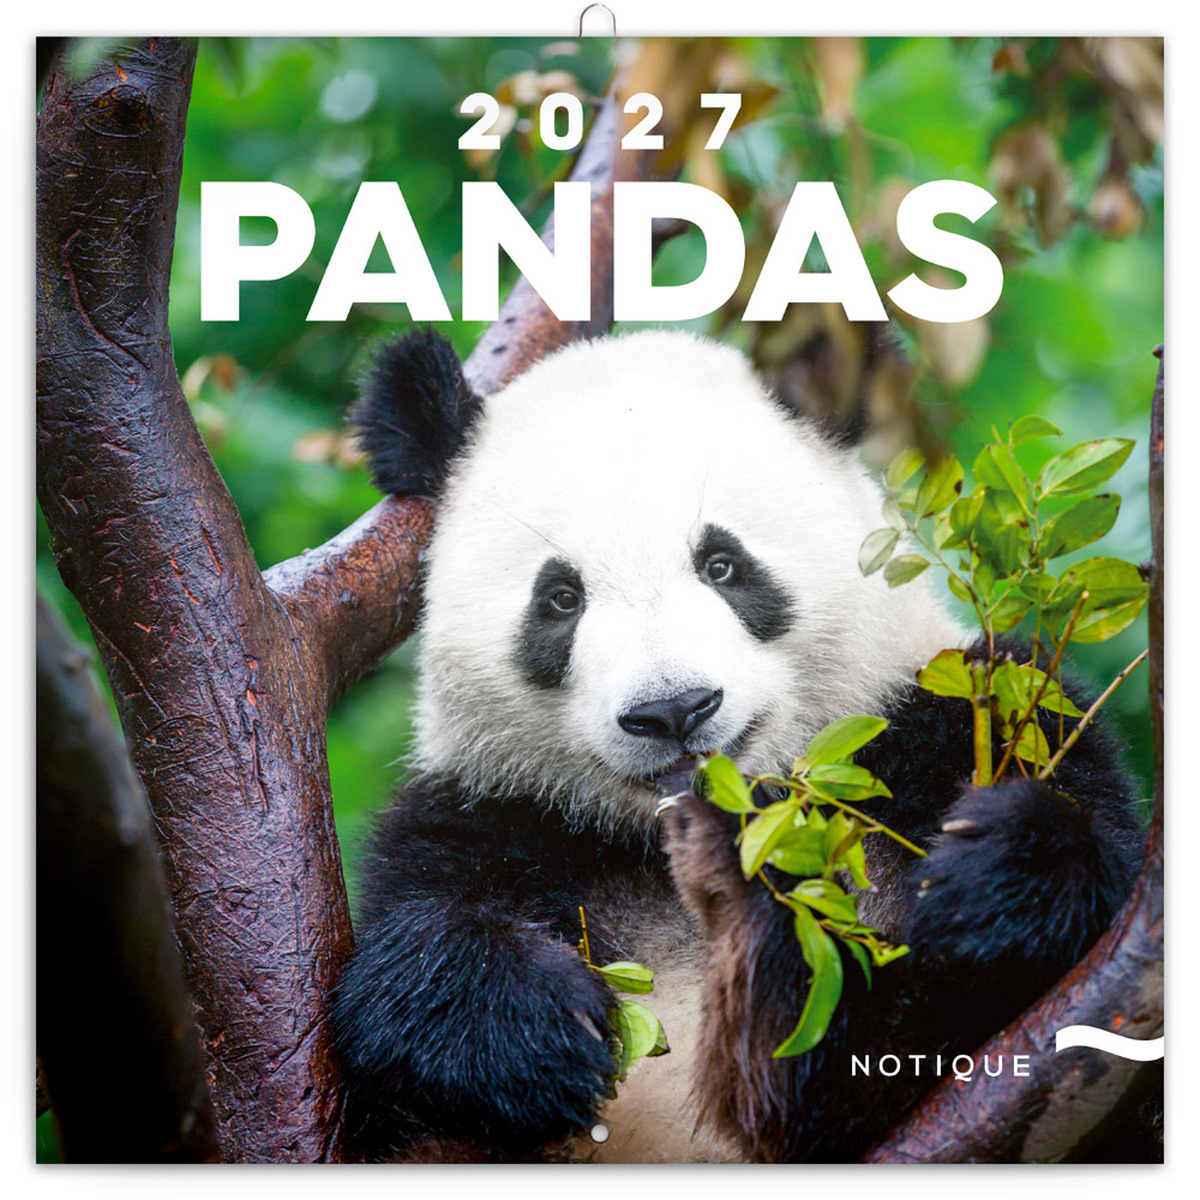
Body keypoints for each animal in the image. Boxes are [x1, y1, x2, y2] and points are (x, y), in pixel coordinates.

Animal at [331, 328, 1145, 1163]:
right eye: (560, 598)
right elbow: (394, 982)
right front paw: (534, 1026)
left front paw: (989, 873)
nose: (672, 709)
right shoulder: (489, 817)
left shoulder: (949, 719)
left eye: (723, 564)